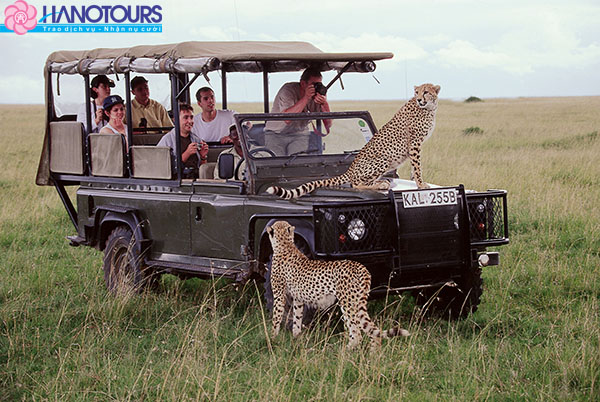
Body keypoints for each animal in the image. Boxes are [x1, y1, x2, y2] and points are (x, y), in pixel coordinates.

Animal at [266, 220, 408, 348]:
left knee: (357, 333)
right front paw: (296, 338)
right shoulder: (298, 299)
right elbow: (297, 318)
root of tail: (360, 266)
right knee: (371, 332)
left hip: (347, 302)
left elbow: (276, 318)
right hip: (356, 302)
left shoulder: (279, 295)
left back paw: (344, 351)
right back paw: (372, 355)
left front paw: (272, 339)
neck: (285, 244)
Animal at [268, 83, 440, 199]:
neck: (429, 108)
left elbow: (414, 166)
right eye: (417, 92)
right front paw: (421, 184)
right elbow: (417, 165)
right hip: (383, 160)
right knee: (355, 183)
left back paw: (383, 181)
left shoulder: (415, 145)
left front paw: (416, 182)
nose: (419, 99)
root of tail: (350, 169)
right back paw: (381, 184)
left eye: (425, 92)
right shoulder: (415, 142)